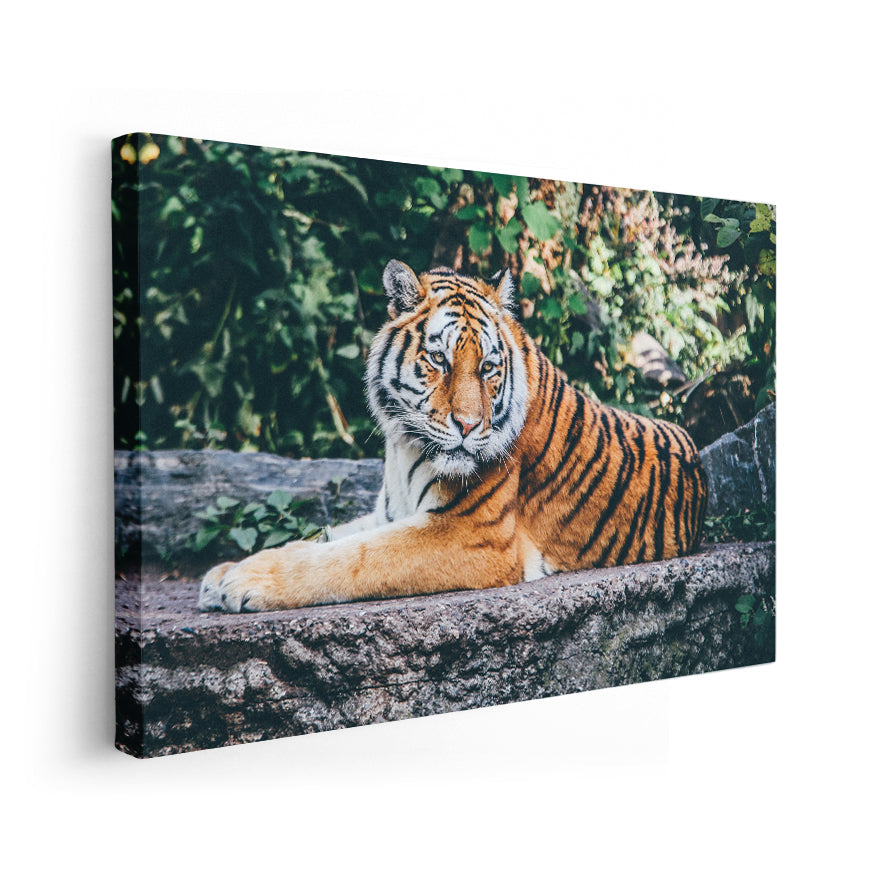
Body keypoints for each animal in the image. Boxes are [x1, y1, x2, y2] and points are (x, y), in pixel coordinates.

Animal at [198, 260, 708, 613]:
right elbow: (324, 538)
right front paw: (221, 574)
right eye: (439, 360)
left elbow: (353, 557)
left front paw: (244, 581)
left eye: (487, 367)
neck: (403, 447)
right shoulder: (389, 513)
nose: (467, 425)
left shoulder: (471, 534)